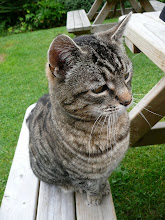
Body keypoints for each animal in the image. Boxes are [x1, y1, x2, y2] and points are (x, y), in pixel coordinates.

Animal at [26, 12, 133, 205]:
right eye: (99, 89)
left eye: (126, 75)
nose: (127, 101)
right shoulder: (81, 175)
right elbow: (90, 186)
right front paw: (95, 197)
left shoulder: (108, 168)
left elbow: (103, 178)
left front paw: (104, 187)